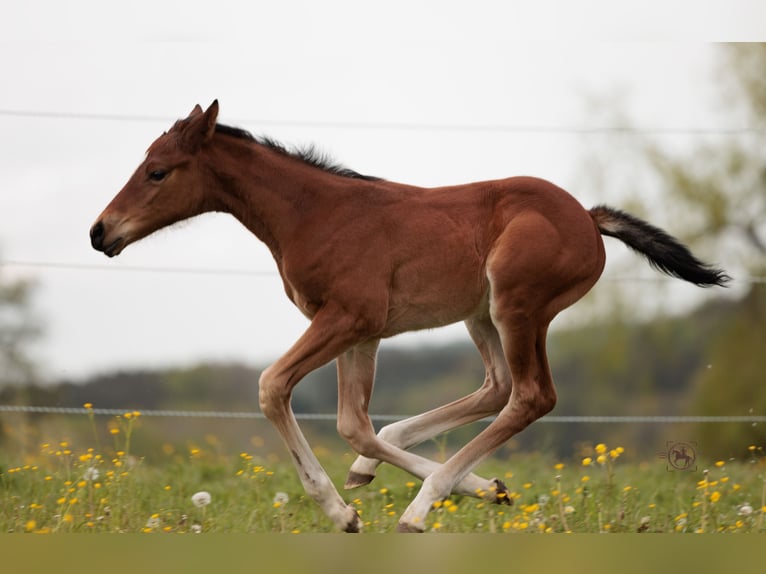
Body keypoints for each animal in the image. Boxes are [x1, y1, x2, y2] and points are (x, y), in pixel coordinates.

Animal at [90, 101, 729, 532]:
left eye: (157, 172)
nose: (100, 232)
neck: (313, 213)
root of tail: (589, 218)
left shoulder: (347, 318)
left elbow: (274, 388)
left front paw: (341, 512)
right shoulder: (361, 331)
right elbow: (354, 424)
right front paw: (469, 488)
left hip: (517, 303)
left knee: (531, 396)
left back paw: (423, 507)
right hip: (482, 314)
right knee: (497, 388)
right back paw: (446, 482)